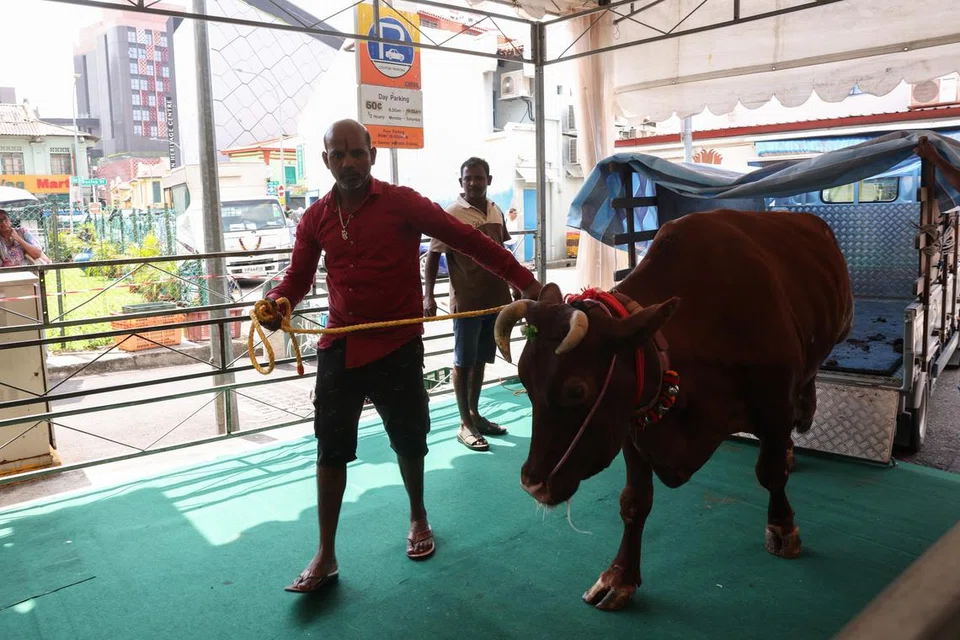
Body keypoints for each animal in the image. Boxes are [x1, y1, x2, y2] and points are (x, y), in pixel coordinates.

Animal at [494, 209, 853, 612]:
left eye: (577, 389)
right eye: (524, 379)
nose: (531, 484)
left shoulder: (774, 406)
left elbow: (771, 472)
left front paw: (783, 527)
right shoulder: (631, 427)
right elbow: (634, 502)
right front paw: (620, 577)